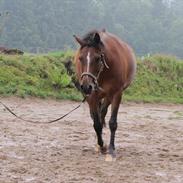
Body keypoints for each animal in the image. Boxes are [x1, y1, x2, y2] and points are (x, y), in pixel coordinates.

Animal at [73, 29, 136, 162]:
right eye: (80, 58)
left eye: (97, 58)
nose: (86, 86)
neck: (105, 71)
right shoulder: (92, 96)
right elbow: (96, 124)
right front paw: (101, 146)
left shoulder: (117, 94)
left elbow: (112, 123)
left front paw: (111, 150)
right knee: (98, 115)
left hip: (108, 96)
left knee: (103, 112)